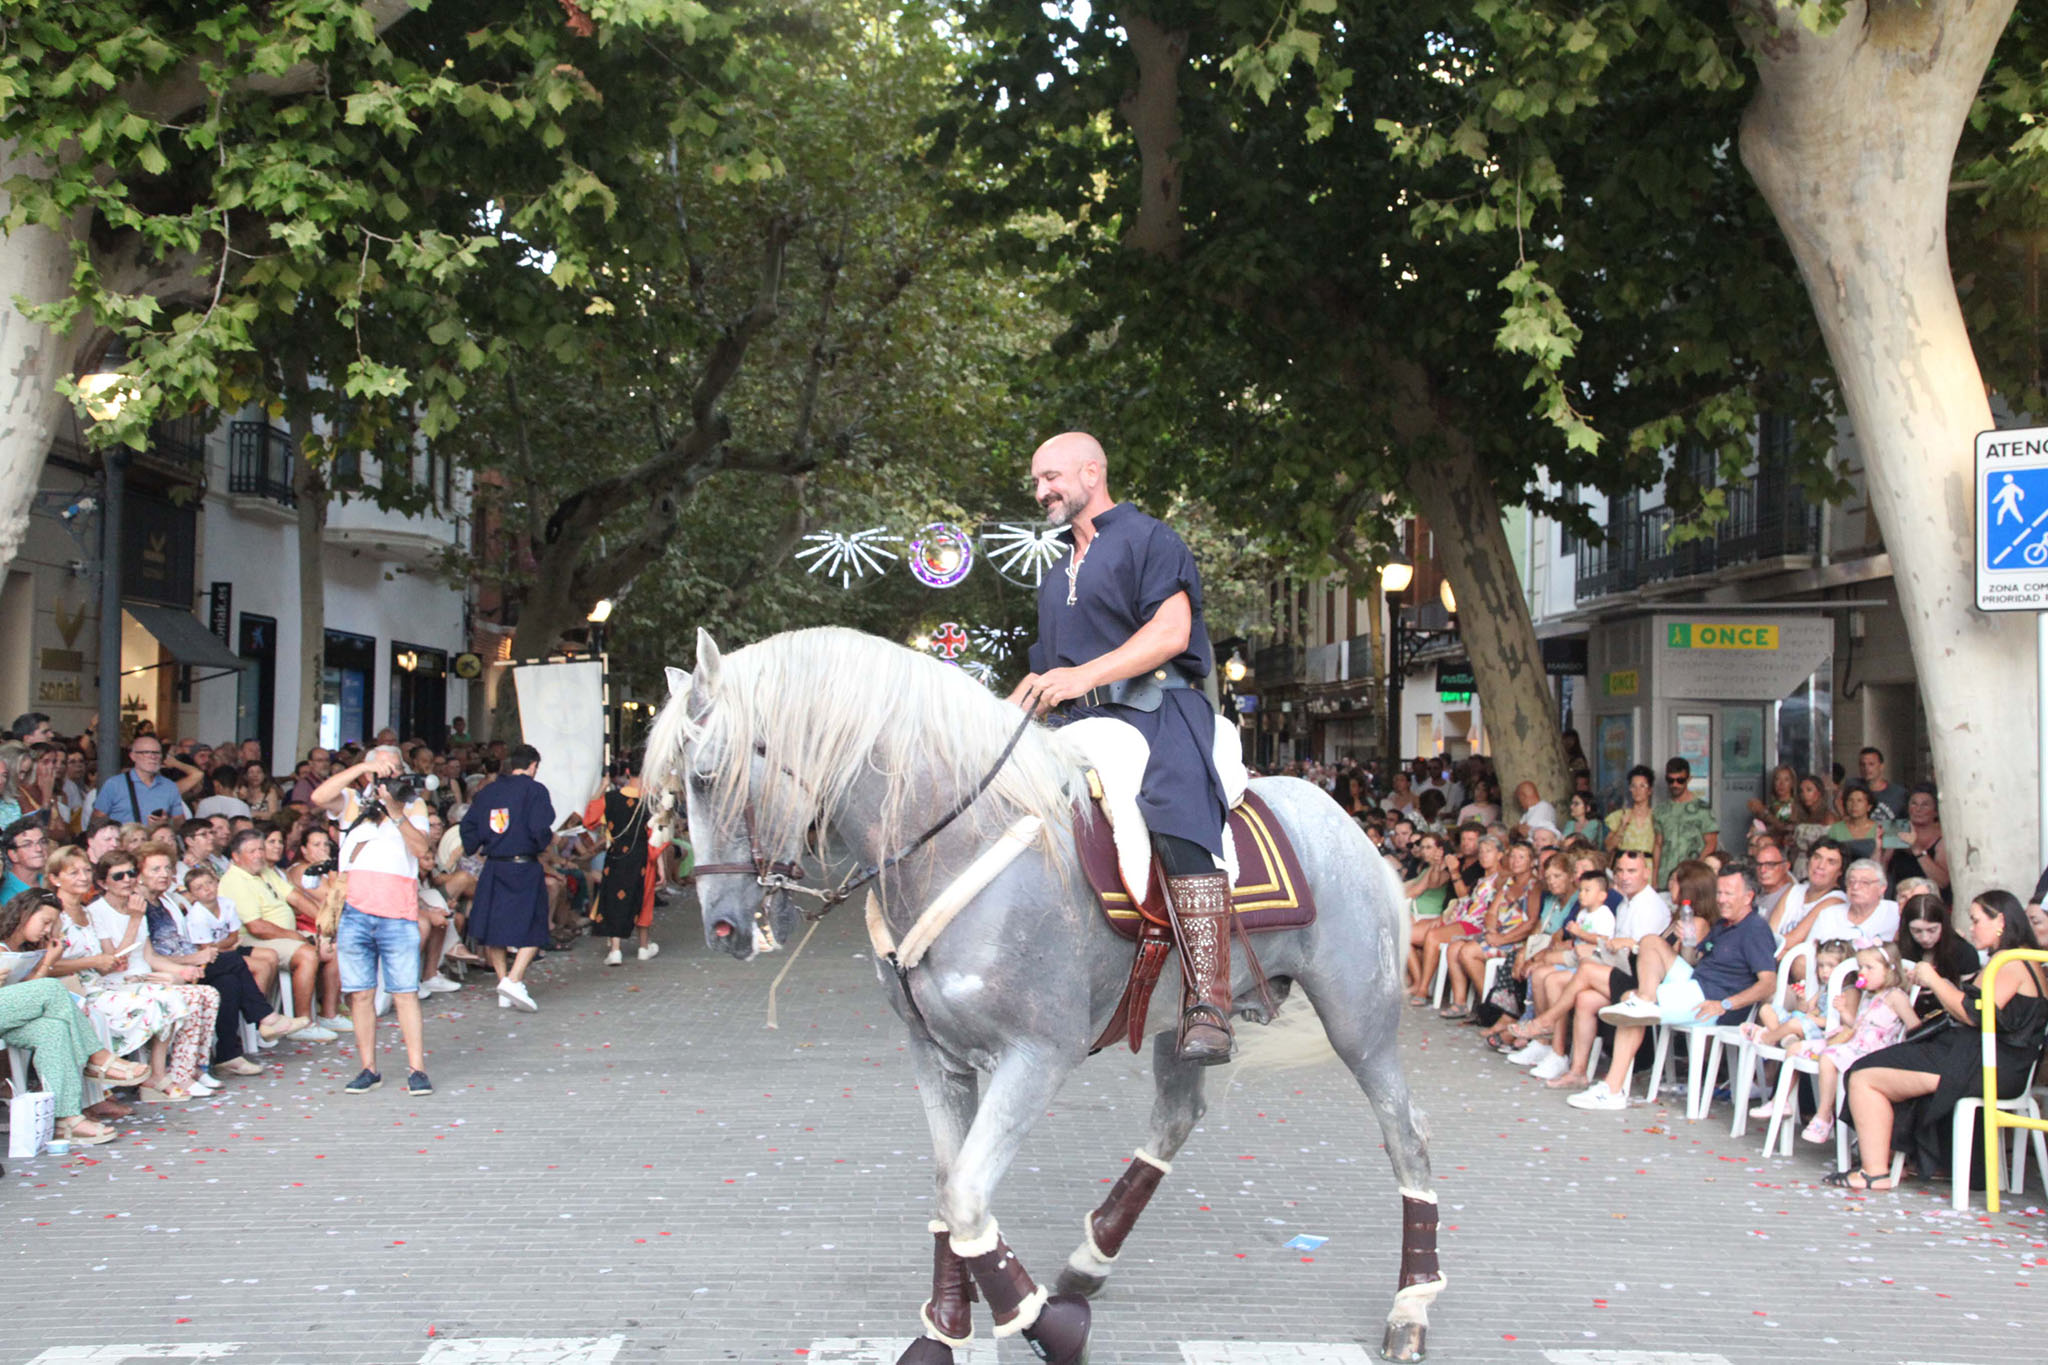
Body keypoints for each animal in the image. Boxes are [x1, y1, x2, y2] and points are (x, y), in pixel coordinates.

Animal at [647, 630, 1449, 1365]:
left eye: (707, 777)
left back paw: (1411, 1306)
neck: (956, 844)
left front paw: (1046, 1325)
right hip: (1184, 1018)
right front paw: (947, 1328)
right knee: (1176, 1116)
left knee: (1407, 1135)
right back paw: (1090, 1259)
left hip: (1359, 1021)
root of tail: (1347, 822)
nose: (721, 927)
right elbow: (949, 1191)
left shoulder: (1036, 1056)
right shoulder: (935, 1054)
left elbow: (967, 1197)